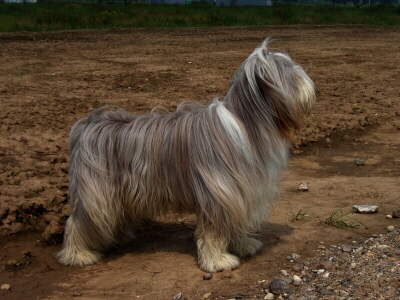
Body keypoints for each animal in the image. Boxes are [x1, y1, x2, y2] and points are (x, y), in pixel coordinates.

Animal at [58, 38, 316, 272]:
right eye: (293, 76)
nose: (314, 90)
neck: (246, 126)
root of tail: (88, 124)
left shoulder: (241, 193)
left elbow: (236, 224)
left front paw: (244, 245)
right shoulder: (219, 193)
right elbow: (214, 231)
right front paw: (218, 261)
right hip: (98, 192)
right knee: (78, 222)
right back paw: (78, 254)